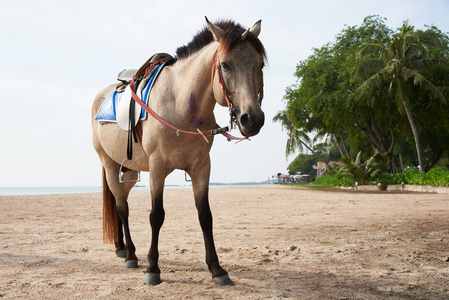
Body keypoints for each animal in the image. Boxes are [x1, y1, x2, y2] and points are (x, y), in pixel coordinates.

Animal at [91, 18, 266, 286]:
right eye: (225, 65)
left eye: (260, 65)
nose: (252, 119)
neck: (182, 105)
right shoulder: (157, 168)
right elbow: (156, 216)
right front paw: (153, 268)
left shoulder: (201, 167)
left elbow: (205, 216)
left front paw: (217, 269)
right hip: (111, 166)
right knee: (122, 207)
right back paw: (131, 255)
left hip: (129, 171)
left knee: (121, 204)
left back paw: (121, 248)